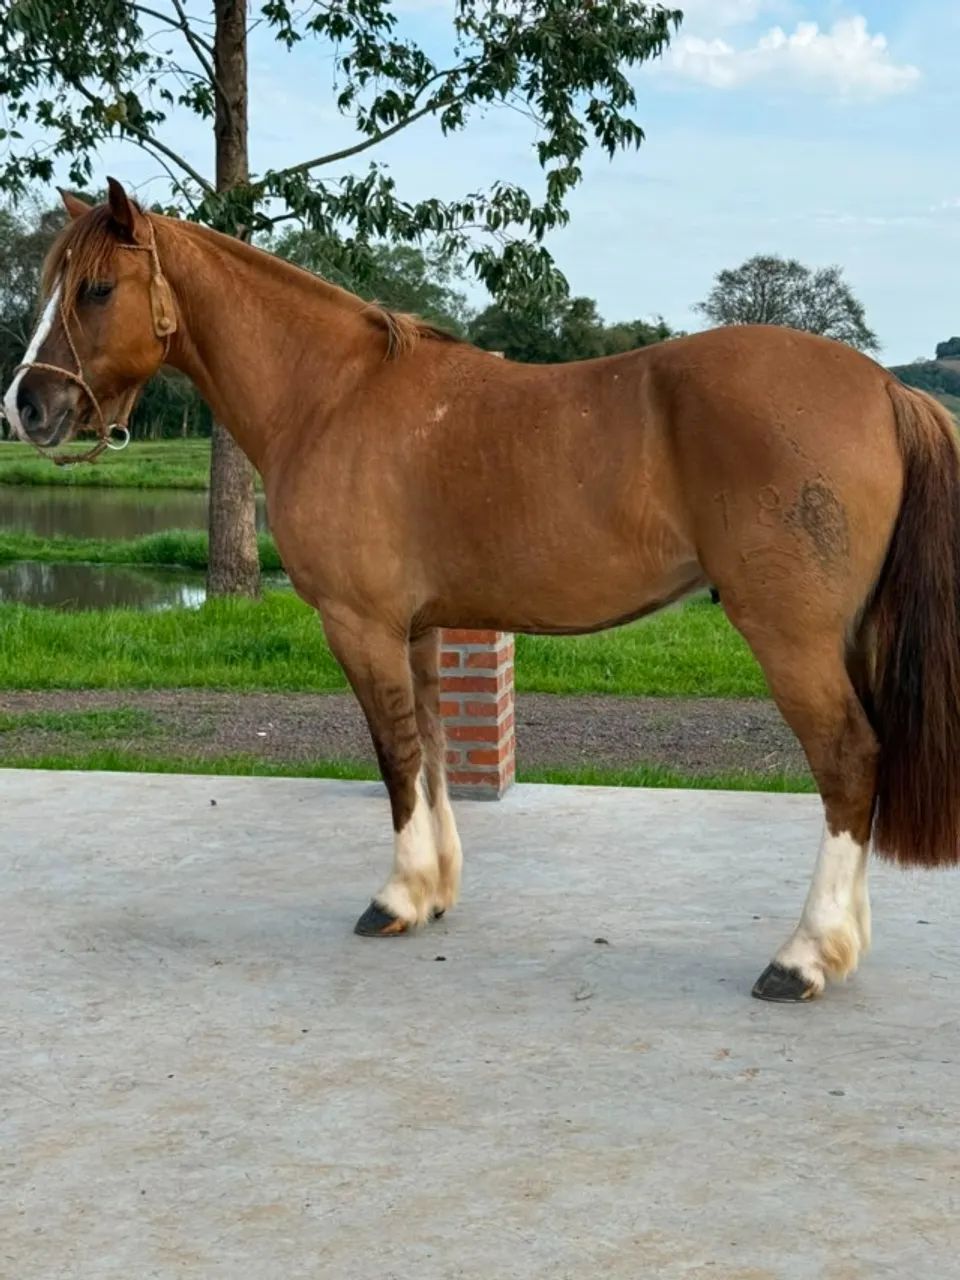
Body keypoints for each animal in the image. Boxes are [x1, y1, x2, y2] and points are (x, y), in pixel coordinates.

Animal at [6, 178, 960, 1004]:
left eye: (95, 289)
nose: (28, 407)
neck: (329, 395)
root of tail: (885, 386)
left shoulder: (360, 625)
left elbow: (394, 756)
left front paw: (394, 899)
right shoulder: (418, 628)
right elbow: (428, 748)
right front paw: (432, 892)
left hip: (792, 638)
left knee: (848, 761)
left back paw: (802, 956)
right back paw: (844, 943)